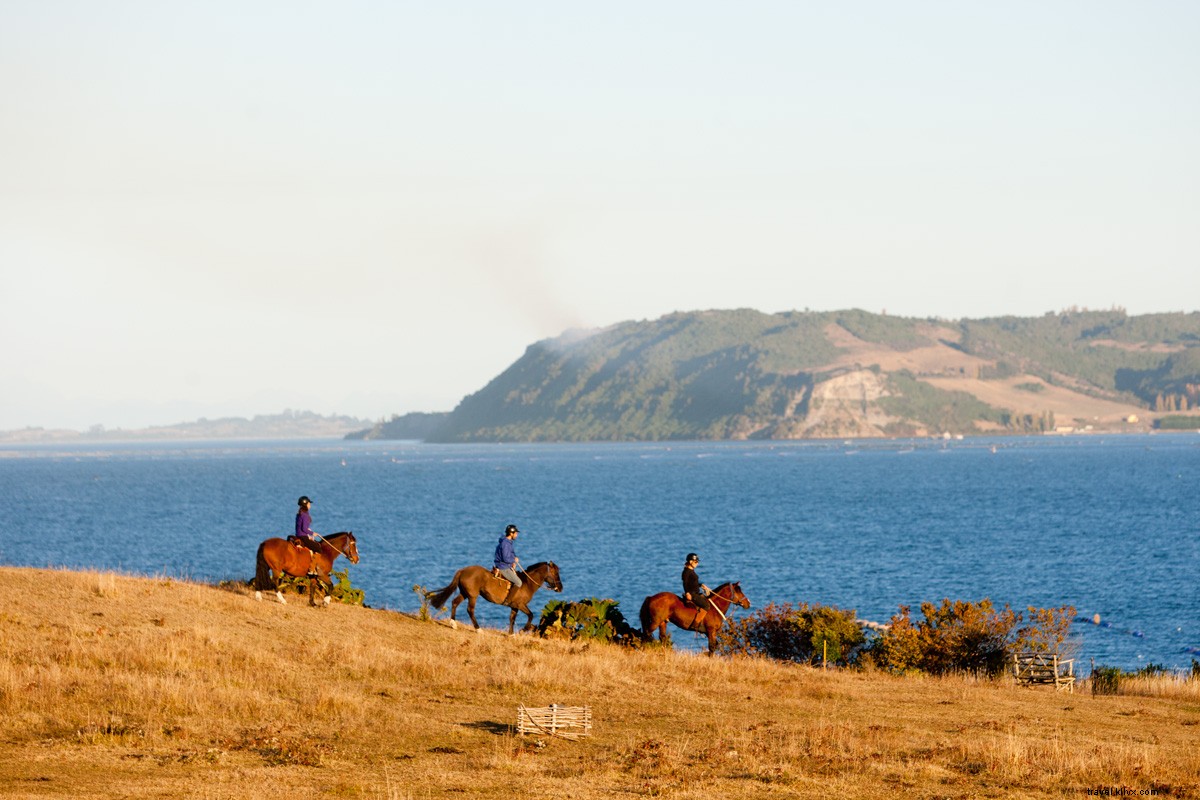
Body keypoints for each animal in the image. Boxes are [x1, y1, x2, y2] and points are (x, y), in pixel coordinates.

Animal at [429, 561, 564, 633]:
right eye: (556, 573)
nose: (561, 588)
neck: (526, 583)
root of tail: (463, 570)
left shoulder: (514, 606)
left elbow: (512, 618)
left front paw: (511, 634)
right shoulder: (520, 605)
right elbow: (530, 615)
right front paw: (523, 630)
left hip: (465, 593)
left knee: (455, 602)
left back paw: (453, 623)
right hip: (473, 596)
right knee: (470, 610)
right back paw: (478, 629)